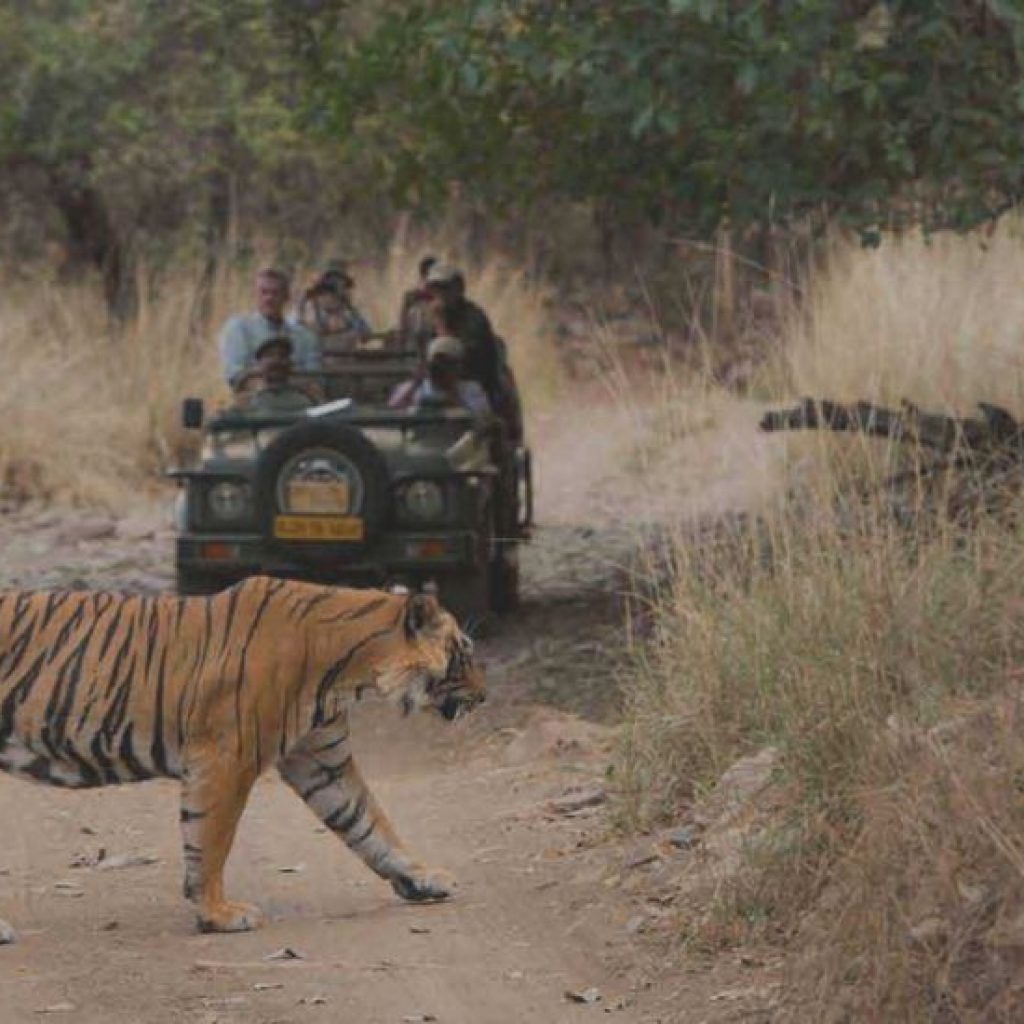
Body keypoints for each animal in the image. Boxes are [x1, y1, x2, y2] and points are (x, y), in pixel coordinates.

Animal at [0, 576, 484, 938]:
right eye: (464, 651)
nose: (484, 697)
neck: (347, 670)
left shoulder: (321, 759)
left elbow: (369, 822)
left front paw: (422, 877)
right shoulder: (227, 756)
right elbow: (212, 839)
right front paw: (219, 914)